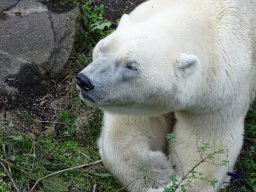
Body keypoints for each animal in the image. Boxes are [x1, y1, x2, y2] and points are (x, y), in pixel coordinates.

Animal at [76, 0, 256, 191]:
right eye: (102, 47)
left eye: (131, 66)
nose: (84, 81)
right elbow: (127, 129)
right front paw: (158, 171)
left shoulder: (221, 96)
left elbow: (208, 147)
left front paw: (171, 181)